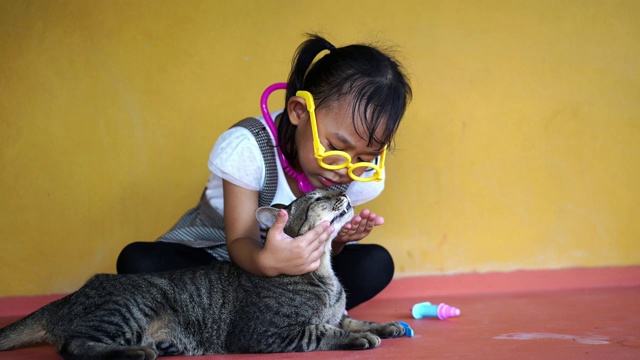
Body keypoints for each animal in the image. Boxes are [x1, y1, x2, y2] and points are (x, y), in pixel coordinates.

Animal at [0, 190, 404, 358]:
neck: (324, 270)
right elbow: (324, 330)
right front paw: (359, 339)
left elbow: (352, 319)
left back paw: (162, 347)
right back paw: (136, 352)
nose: (342, 190)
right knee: (74, 345)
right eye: (319, 198)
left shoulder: (340, 312)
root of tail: (77, 293)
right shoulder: (268, 332)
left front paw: (386, 326)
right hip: (129, 308)